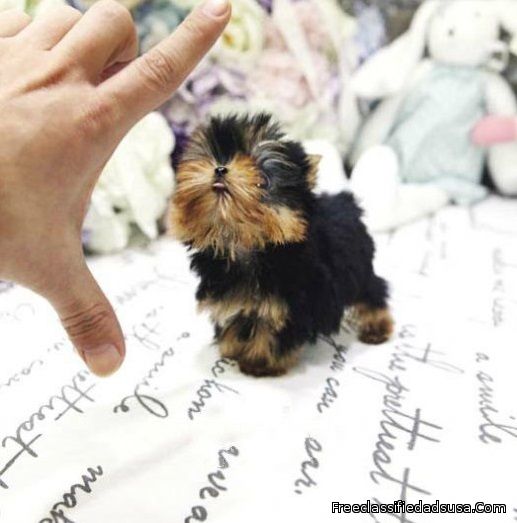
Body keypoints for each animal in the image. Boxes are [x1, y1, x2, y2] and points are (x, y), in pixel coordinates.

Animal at [169, 113, 392, 376]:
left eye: (263, 179)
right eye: (214, 157)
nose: (221, 168)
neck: (243, 244)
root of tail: (346, 202)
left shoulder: (291, 306)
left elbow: (272, 334)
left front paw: (259, 363)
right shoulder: (229, 298)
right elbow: (234, 321)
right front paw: (232, 348)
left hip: (357, 267)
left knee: (372, 290)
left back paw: (377, 325)